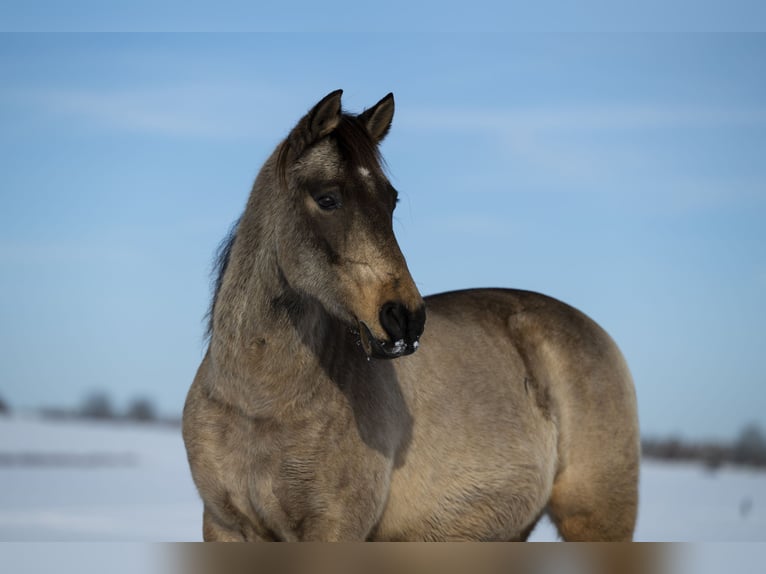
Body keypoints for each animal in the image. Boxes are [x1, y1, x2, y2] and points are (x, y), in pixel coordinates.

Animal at [182, 88, 640, 544]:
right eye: (327, 199)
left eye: (391, 200)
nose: (405, 318)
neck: (257, 403)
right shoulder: (223, 525)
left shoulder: (334, 529)